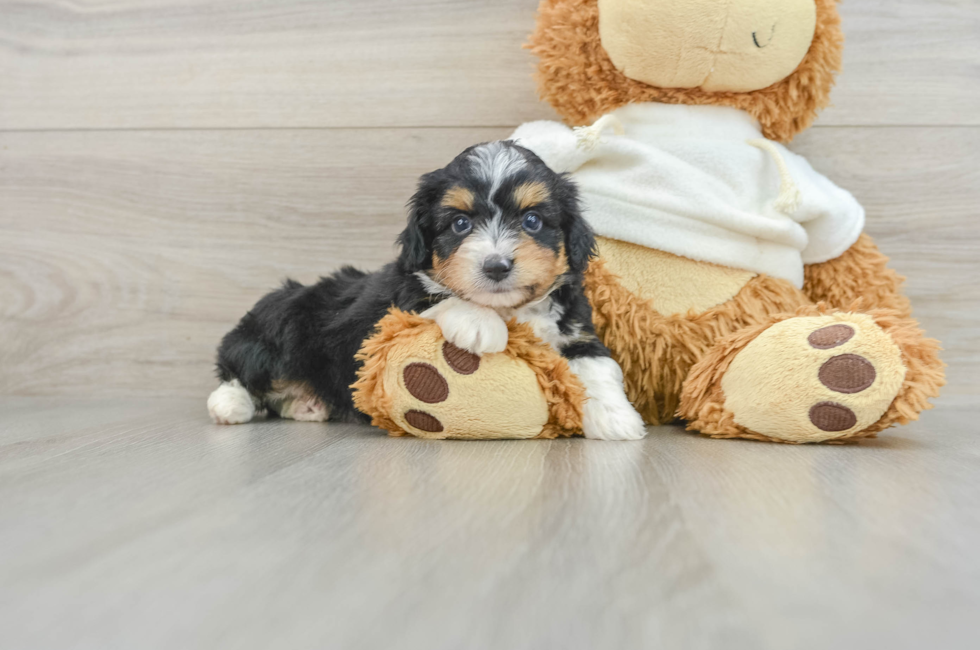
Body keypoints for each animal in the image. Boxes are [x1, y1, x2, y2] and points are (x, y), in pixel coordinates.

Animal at [209, 139, 644, 438]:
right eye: (460, 224)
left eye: (533, 221)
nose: (496, 266)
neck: (510, 309)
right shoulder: (387, 314)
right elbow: (435, 298)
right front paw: (479, 326)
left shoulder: (574, 329)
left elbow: (598, 367)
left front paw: (617, 418)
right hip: (282, 324)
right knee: (239, 368)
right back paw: (229, 404)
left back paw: (306, 403)